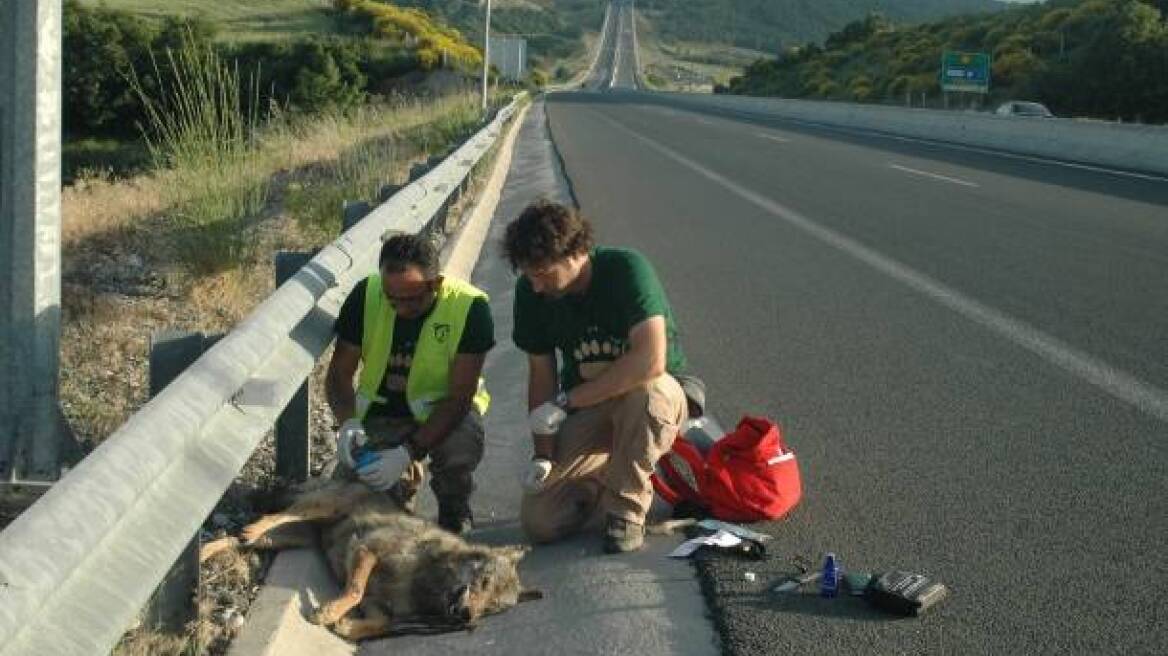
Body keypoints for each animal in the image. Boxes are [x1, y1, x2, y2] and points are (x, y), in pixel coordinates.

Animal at [202, 473, 541, 639]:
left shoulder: (378, 605)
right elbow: (354, 590)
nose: (468, 617)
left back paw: (206, 553)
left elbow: (382, 623)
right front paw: (330, 613)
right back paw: (250, 527)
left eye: (493, 609)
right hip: (318, 509)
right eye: (483, 582)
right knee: (273, 515)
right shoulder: (367, 550)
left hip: (285, 540)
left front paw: (347, 628)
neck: (428, 580)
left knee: (237, 540)